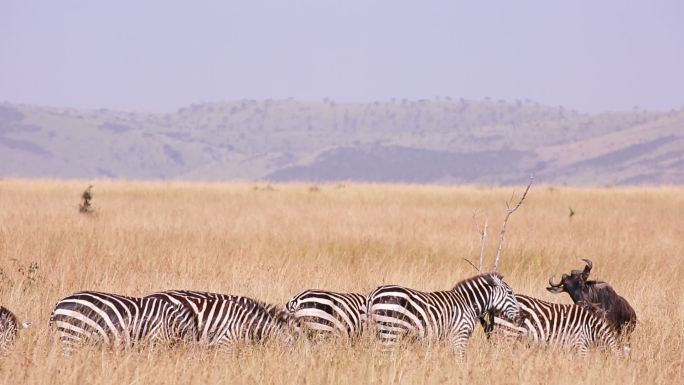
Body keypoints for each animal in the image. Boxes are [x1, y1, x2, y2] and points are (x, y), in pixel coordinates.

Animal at [368, 272, 520, 356]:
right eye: (510, 293)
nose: (521, 316)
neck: (468, 304)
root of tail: (373, 294)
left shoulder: (449, 338)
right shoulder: (460, 335)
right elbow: (460, 361)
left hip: (381, 331)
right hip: (391, 330)